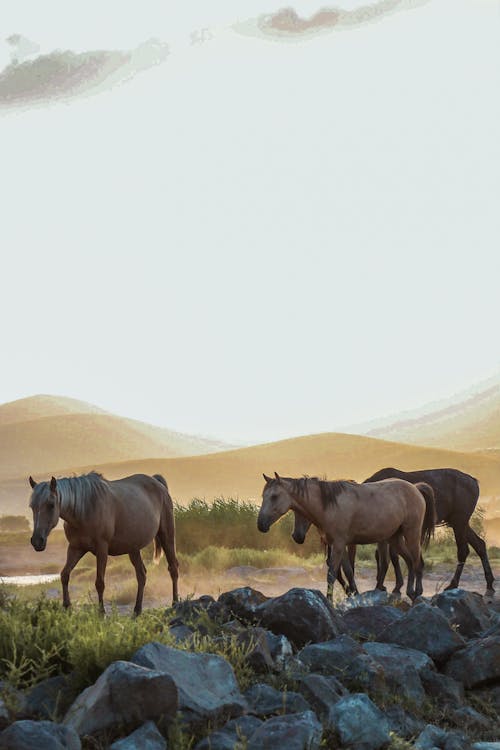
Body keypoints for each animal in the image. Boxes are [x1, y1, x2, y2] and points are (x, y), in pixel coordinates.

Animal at [27, 476, 178, 616]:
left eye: (51, 505)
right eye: (32, 506)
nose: (37, 541)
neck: (84, 509)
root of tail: (157, 483)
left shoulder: (101, 549)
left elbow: (99, 582)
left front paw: (102, 613)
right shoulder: (75, 548)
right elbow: (65, 575)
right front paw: (67, 607)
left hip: (167, 536)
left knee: (173, 568)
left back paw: (175, 603)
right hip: (133, 548)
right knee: (141, 574)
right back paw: (137, 611)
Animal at [260, 476, 436, 604]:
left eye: (274, 496)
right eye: (263, 496)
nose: (260, 524)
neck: (329, 505)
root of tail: (415, 488)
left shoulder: (339, 545)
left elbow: (332, 573)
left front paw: (330, 601)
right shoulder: (338, 544)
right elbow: (348, 571)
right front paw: (354, 594)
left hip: (411, 534)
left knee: (417, 562)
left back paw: (417, 593)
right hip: (395, 539)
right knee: (409, 561)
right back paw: (408, 592)